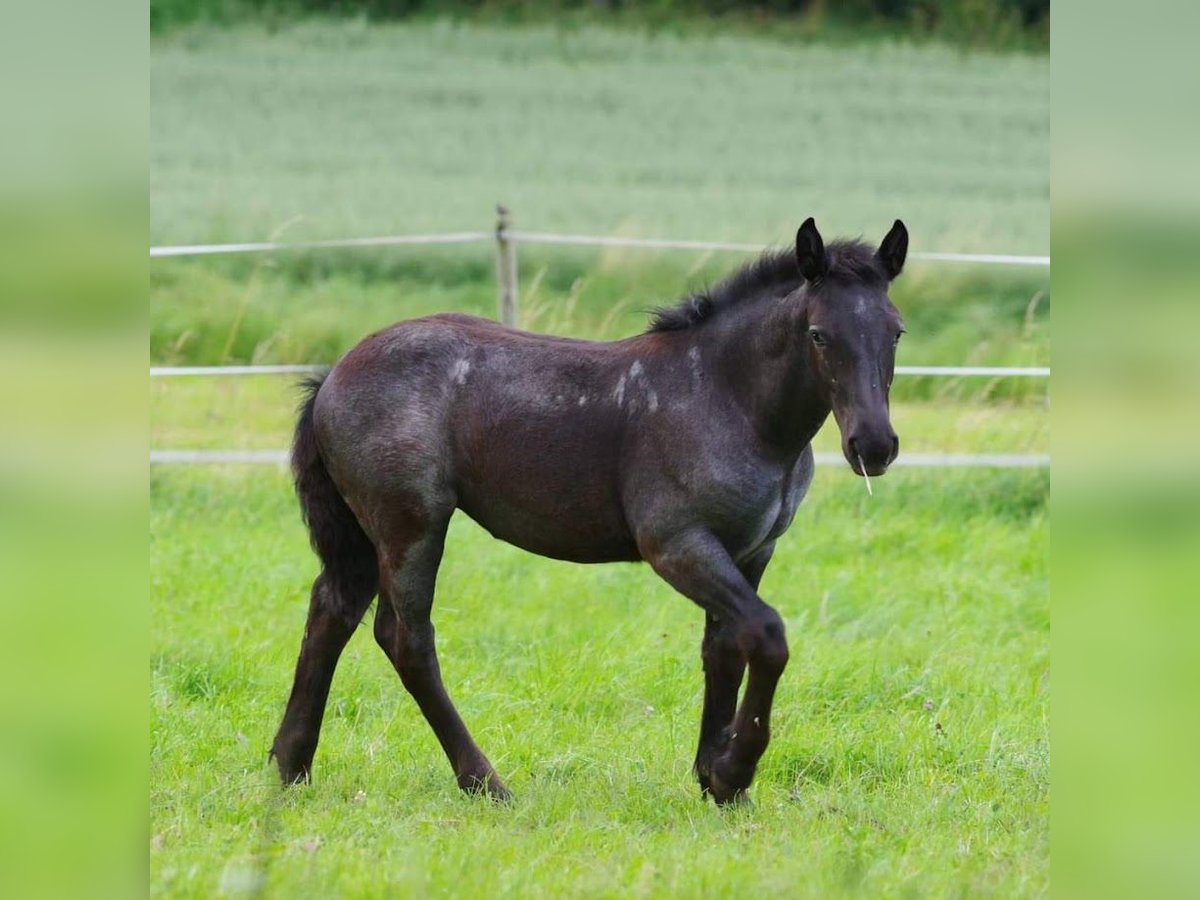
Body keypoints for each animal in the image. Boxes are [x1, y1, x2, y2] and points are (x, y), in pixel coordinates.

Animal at [272, 217, 907, 801]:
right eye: (819, 334)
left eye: (896, 333)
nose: (874, 446)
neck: (729, 398)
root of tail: (333, 374)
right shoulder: (678, 545)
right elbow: (768, 636)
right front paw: (733, 772)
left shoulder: (750, 551)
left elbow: (725, 648)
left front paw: (715, 780)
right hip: (411, 524)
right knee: (406, 638)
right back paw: (485, 781)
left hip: (364, 533)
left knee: (332, 611)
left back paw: (291, 765)